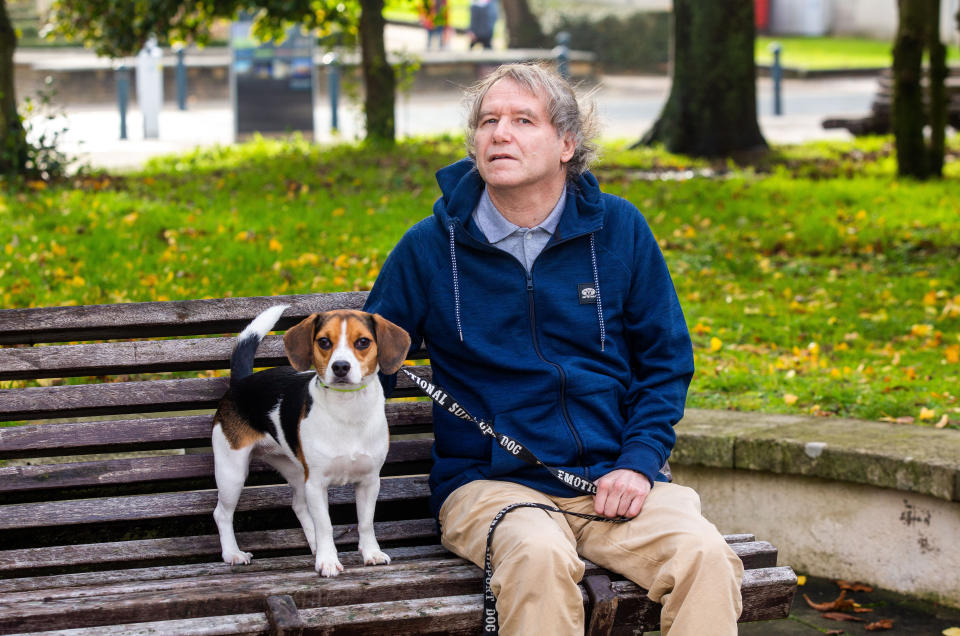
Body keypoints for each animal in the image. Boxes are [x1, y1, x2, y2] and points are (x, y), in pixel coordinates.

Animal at [212, 304, 410, 576]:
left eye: (363, 342)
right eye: (324, 341)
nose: (340, 367)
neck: (347, 410)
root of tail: (241, 383)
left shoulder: (369, 481)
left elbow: (366, 522)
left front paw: (371, 553)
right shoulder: (316, 484)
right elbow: (325, 524)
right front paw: (328, 561)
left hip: (294, 470)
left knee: (298, 505)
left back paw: (314, 544)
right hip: (232, 473)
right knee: (221, 513)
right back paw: (232, 553)